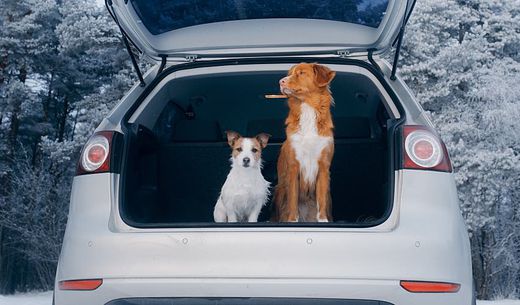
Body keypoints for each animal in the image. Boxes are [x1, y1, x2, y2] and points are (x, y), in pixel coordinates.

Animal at [272, 63, 338, 221]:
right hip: (280, 190)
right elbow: (292, 202)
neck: (307, 108)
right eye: (289, 74)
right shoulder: (293, 167)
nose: (281, 81)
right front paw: (292, 221)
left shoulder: (323, 166)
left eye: (301, 73)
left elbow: (322, 202)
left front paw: (323, 221)